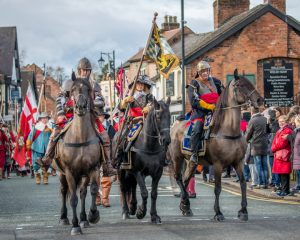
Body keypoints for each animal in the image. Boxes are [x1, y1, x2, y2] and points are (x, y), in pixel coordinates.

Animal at [55, 78, 102, 235]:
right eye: (73, 89)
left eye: (88, 90)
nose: (80, 106)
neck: (80, 137)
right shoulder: (69, 171)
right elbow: (73, 199)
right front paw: (75, 226)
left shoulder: (93, 168)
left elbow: (92, 190)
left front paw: (93, 215)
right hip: (61, 173)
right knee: (64, 191)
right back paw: (64, 217)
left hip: (83, 174)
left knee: (83, 192)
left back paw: (84, 219)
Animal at [168, 69, 264, 221]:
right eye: (240, 85)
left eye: (251, 83)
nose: (260, 100)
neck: (228, 130)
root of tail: (174, 126)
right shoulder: (218, 164)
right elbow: (217, 188)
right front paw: (218, 213)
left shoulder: (238, 162)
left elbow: (243, 183)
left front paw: (243, 211)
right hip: (177, 158)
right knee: (178, 178)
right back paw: (185, 202)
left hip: (192, 162)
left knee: (186, 179)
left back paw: (185, 206)